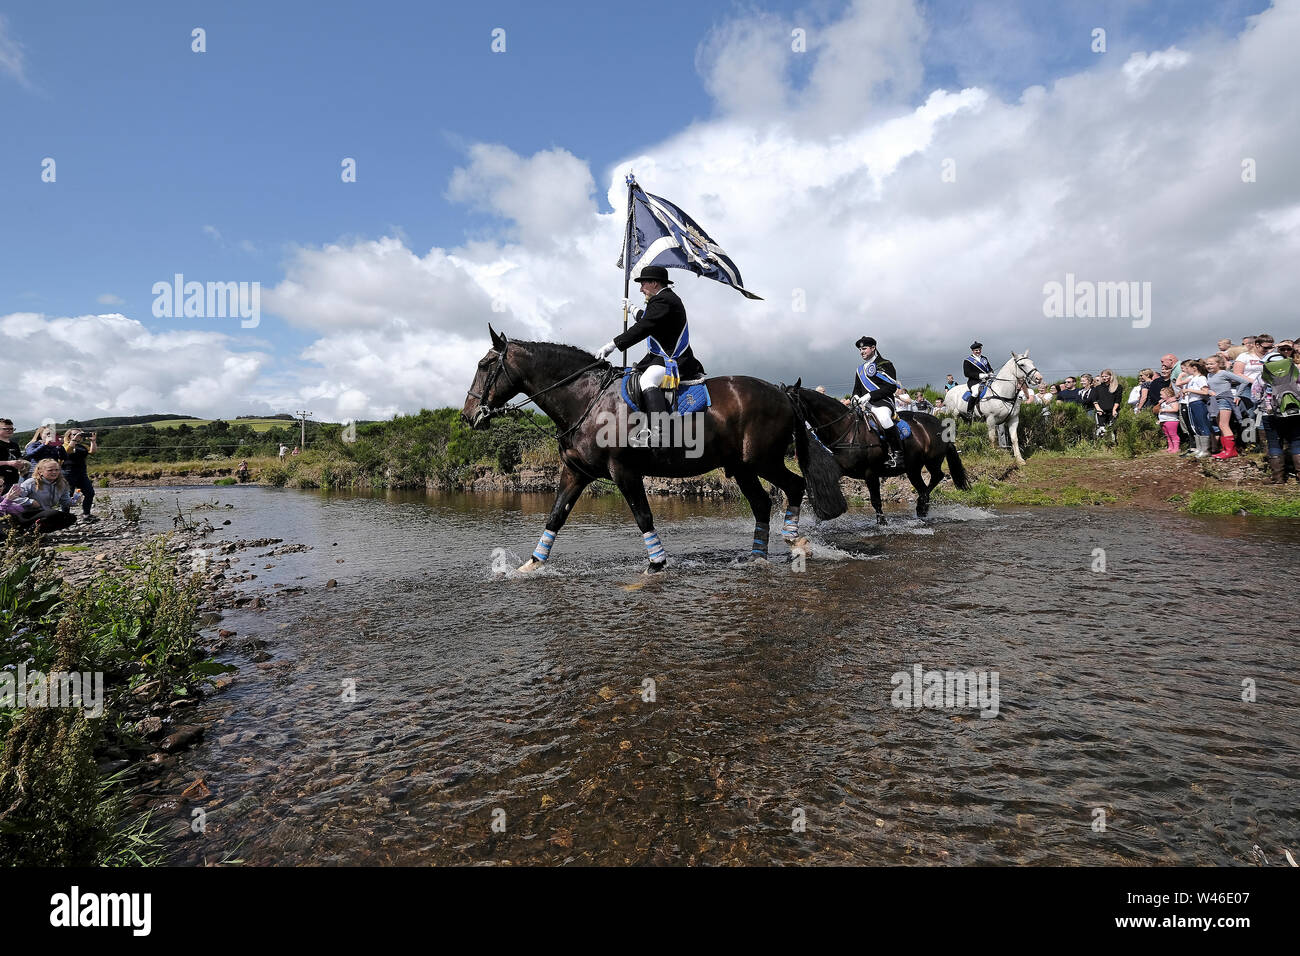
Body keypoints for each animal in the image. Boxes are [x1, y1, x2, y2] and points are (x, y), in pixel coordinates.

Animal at [462, 325, 847, 572]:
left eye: (484, 366)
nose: (468, 416)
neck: (587, 400)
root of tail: (782, 392)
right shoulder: (576, 473)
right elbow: (555, 515)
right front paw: (532, 565)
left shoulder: (624, 472)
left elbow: (643, 517)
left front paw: (657, 564)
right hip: (742, 467)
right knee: (762, 503)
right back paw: (757, 556)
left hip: (762, 460)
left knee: (794, 485)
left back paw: (795, 542)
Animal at [780, 382, 967, 522]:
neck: (845, 429)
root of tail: (940, 424)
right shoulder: (840, 469)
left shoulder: (870, 473)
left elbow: (876, 501)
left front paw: (882, 523)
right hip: (913, 468)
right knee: (925, 486)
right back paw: (921, 509)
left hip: (931, 461)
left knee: (936, 477)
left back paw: (921, 506)